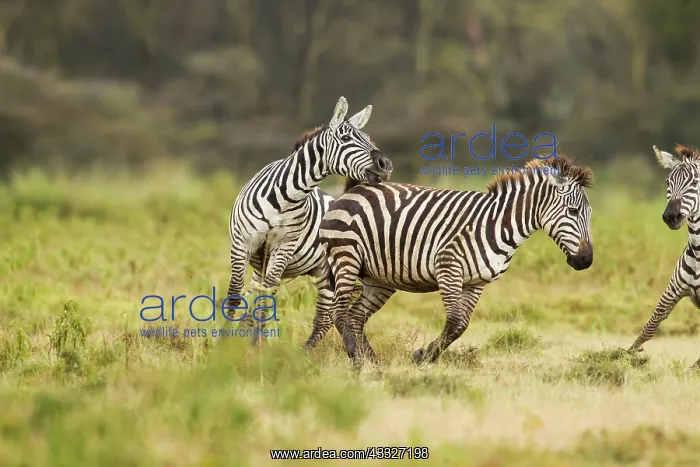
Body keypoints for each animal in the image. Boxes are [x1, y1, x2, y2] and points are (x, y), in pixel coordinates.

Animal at [223, 96, 393, 345]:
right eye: (346, 138)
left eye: (368, 137)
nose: (386, 165)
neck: (285, 197)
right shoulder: (242, 242)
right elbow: (236, 295)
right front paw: (223, 344)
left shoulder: (283, 247)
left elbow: (266, 298)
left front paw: (256, 346)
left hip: (328, 270)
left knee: (324, 318)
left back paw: (301, 352)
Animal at [309, 156, 594, 364]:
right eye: (573, 211)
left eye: (590, 213)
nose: (586, 260)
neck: (497, 225)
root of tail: (355, 189)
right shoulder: (449, 268)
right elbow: (456, 322)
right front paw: (423, 356)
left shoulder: (476, 283)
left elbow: (461, 326)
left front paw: (424, 356)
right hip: (346, 256)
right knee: (339, 313)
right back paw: (356, 359)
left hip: (379, 278)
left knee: (355, 315)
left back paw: (372, 362)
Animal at [629, 144, 700, 367]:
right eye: (668, 183)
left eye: (695, 183)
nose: (671, 216)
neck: (699, 252)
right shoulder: (671, 292)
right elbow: (649, 327)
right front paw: (621, 356)